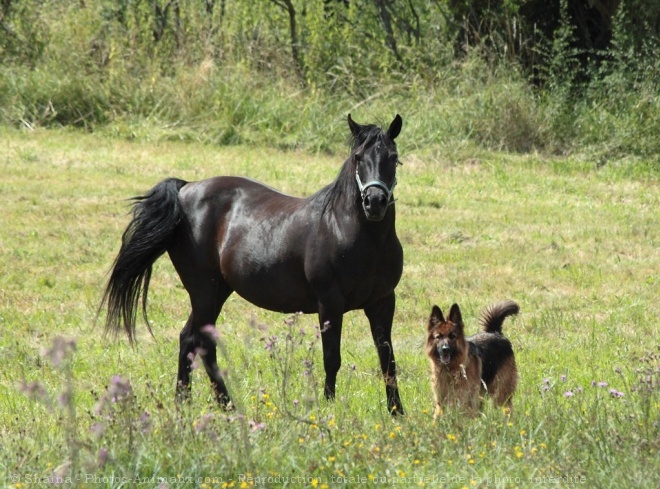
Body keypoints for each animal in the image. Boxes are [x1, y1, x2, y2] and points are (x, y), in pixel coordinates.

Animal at [100, 115, 404, 416]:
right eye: (358, 157)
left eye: (393, 157)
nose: (375, 202)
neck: (348, 231)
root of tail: (186, 188)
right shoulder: (329, 303)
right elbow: (332, 358)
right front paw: (328, 409)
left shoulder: (382, 302)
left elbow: (387, 359)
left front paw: (397, 412)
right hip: (203, 289)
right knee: (203, 344)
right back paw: (227, 406)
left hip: (218, 290)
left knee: (188, 338)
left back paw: (185, 402)